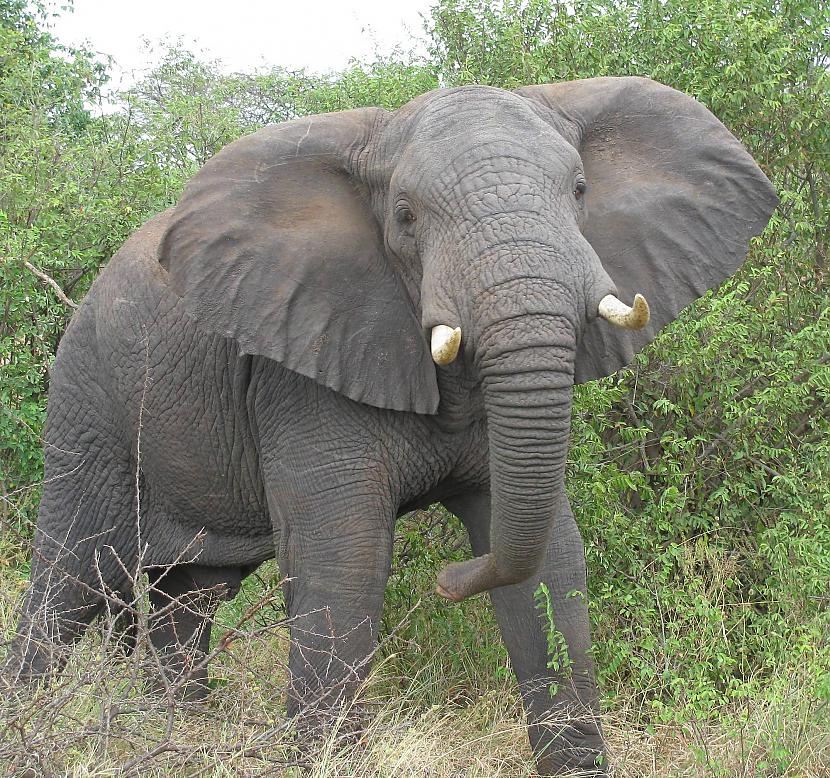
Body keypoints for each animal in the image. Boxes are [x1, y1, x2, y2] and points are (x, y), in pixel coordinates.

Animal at [3, 77, 776, 768]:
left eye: (581, 191)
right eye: (405, 215)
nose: (449, 578)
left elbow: (551, 560)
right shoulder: (303, 364)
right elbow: (343, 566)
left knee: (186, 599)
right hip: (88, 406)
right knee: (68, 584)